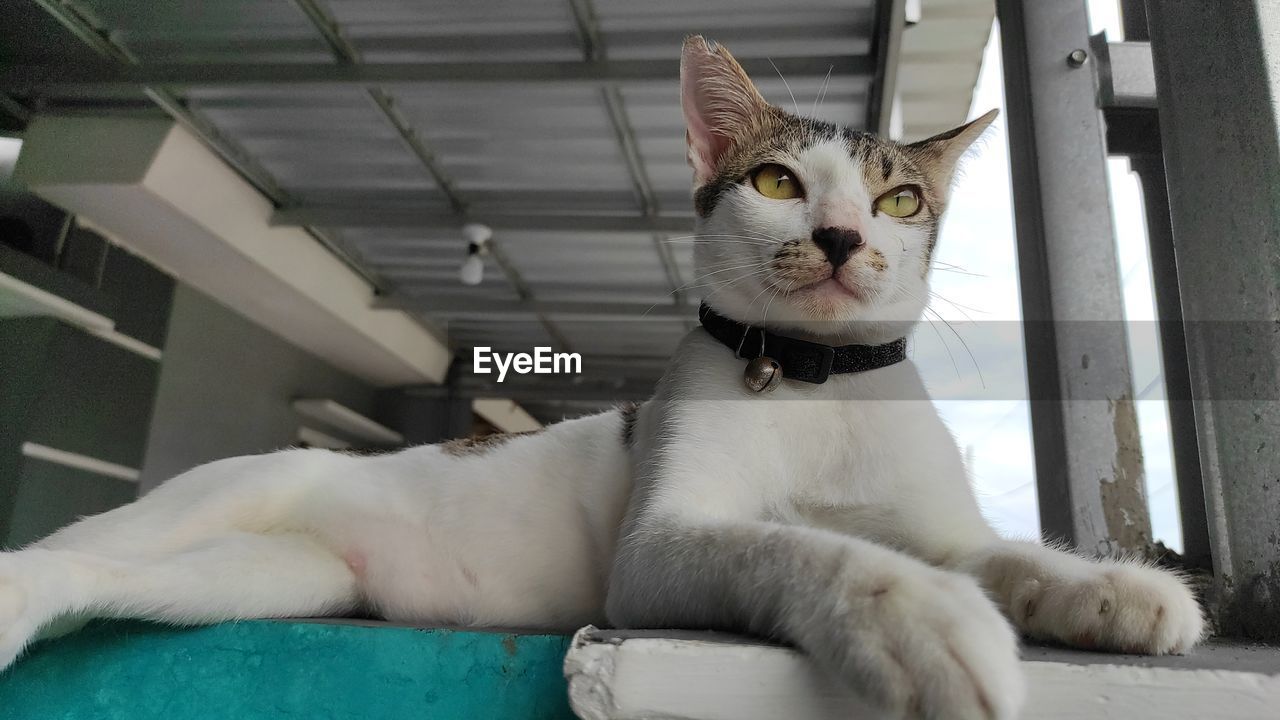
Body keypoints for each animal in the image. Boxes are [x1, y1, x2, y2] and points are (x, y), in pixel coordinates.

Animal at [0, 37, 1198, 717]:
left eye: (899, 201)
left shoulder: (940, 522)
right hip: (217, 499)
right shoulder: (654, 552)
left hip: (268, 578)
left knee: (89, 583)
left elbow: (999, 554)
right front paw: (917, 613)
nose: (844, 237)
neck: (816, 386)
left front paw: (1112, 590)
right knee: (65, 550)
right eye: (775, 182)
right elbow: (802, 546)